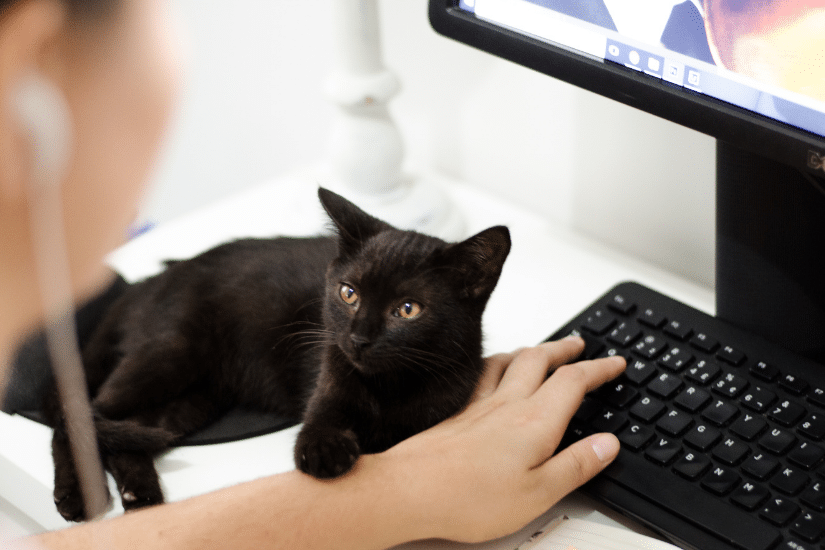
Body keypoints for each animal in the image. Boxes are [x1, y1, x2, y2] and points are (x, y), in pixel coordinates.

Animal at [46, 189, 508, 520]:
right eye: (349, 294)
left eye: (408, 309)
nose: (358, 338)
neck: (388, 387)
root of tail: (148, 281)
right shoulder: (329, 379)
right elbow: (319, 427)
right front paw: (325, 452)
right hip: (171, 352)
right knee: (78, 415)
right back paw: (76, 496)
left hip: (195, 399)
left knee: (125, 430)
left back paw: (140, 494)